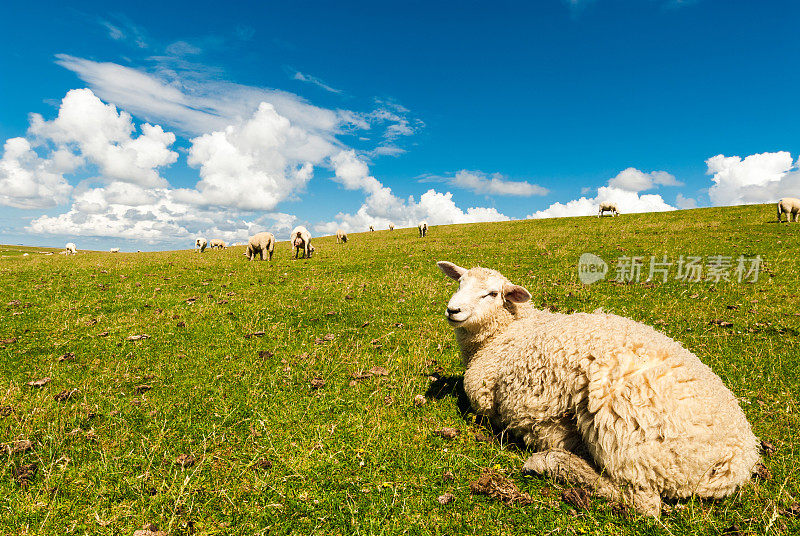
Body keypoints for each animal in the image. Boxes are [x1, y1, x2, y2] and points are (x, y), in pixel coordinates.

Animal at [434, 262, 760, 516]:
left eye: (492, 293)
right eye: (460, 282)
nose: (453, 310)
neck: (508, 331)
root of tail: (738, 455)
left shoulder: (485, 396)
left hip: (627, 429)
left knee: (643, 502)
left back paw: (553, 462)